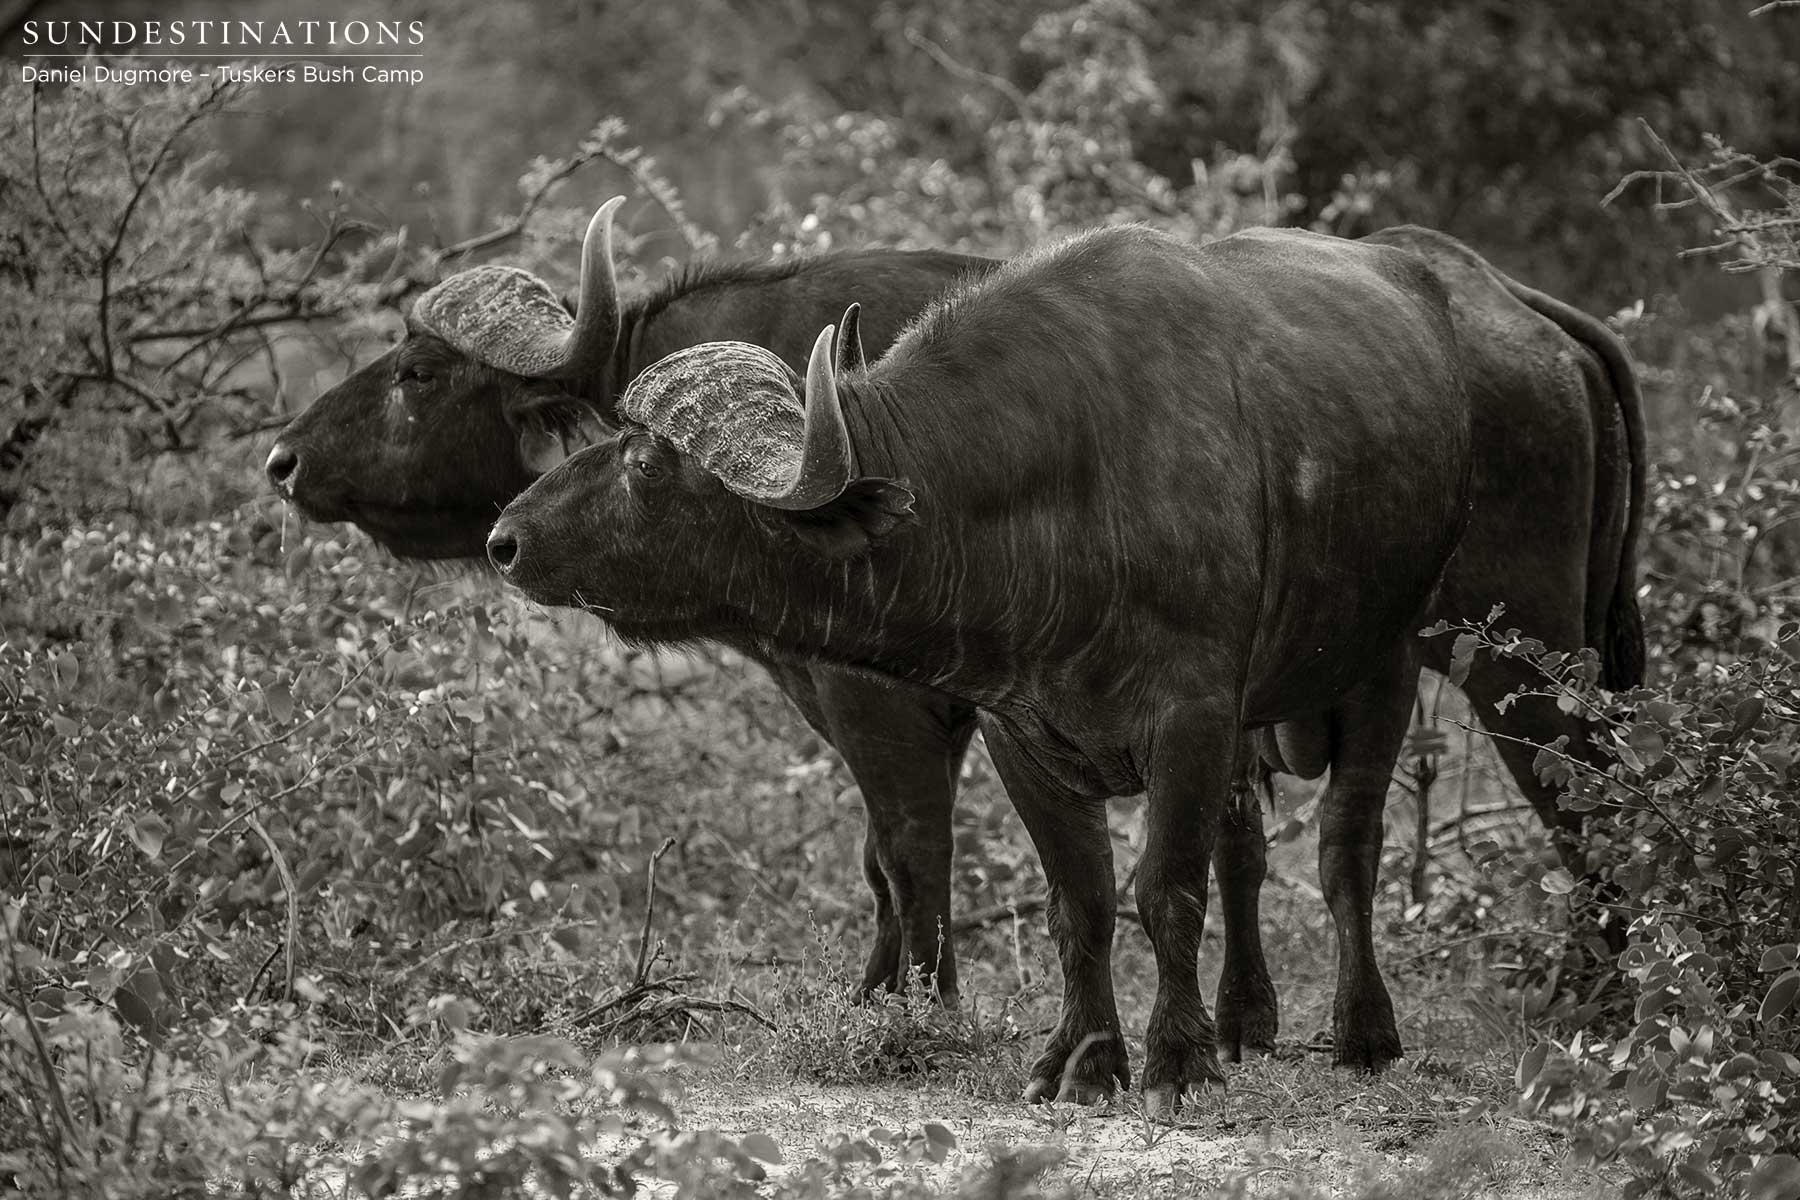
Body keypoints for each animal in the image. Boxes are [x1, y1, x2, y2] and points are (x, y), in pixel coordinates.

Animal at [486, 221, 1477, 1112]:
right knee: (1247, 846)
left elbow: (1165, 890)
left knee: (1346, 850)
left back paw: (1363, 1031)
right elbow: (1080, 901)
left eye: (647, 462)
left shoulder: (1190, 719)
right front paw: (1082, 1059)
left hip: (1384, 669)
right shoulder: (1019, 733)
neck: (1065, 487)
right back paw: (1245, 1021)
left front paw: (1177, 1062)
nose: (506, 540)